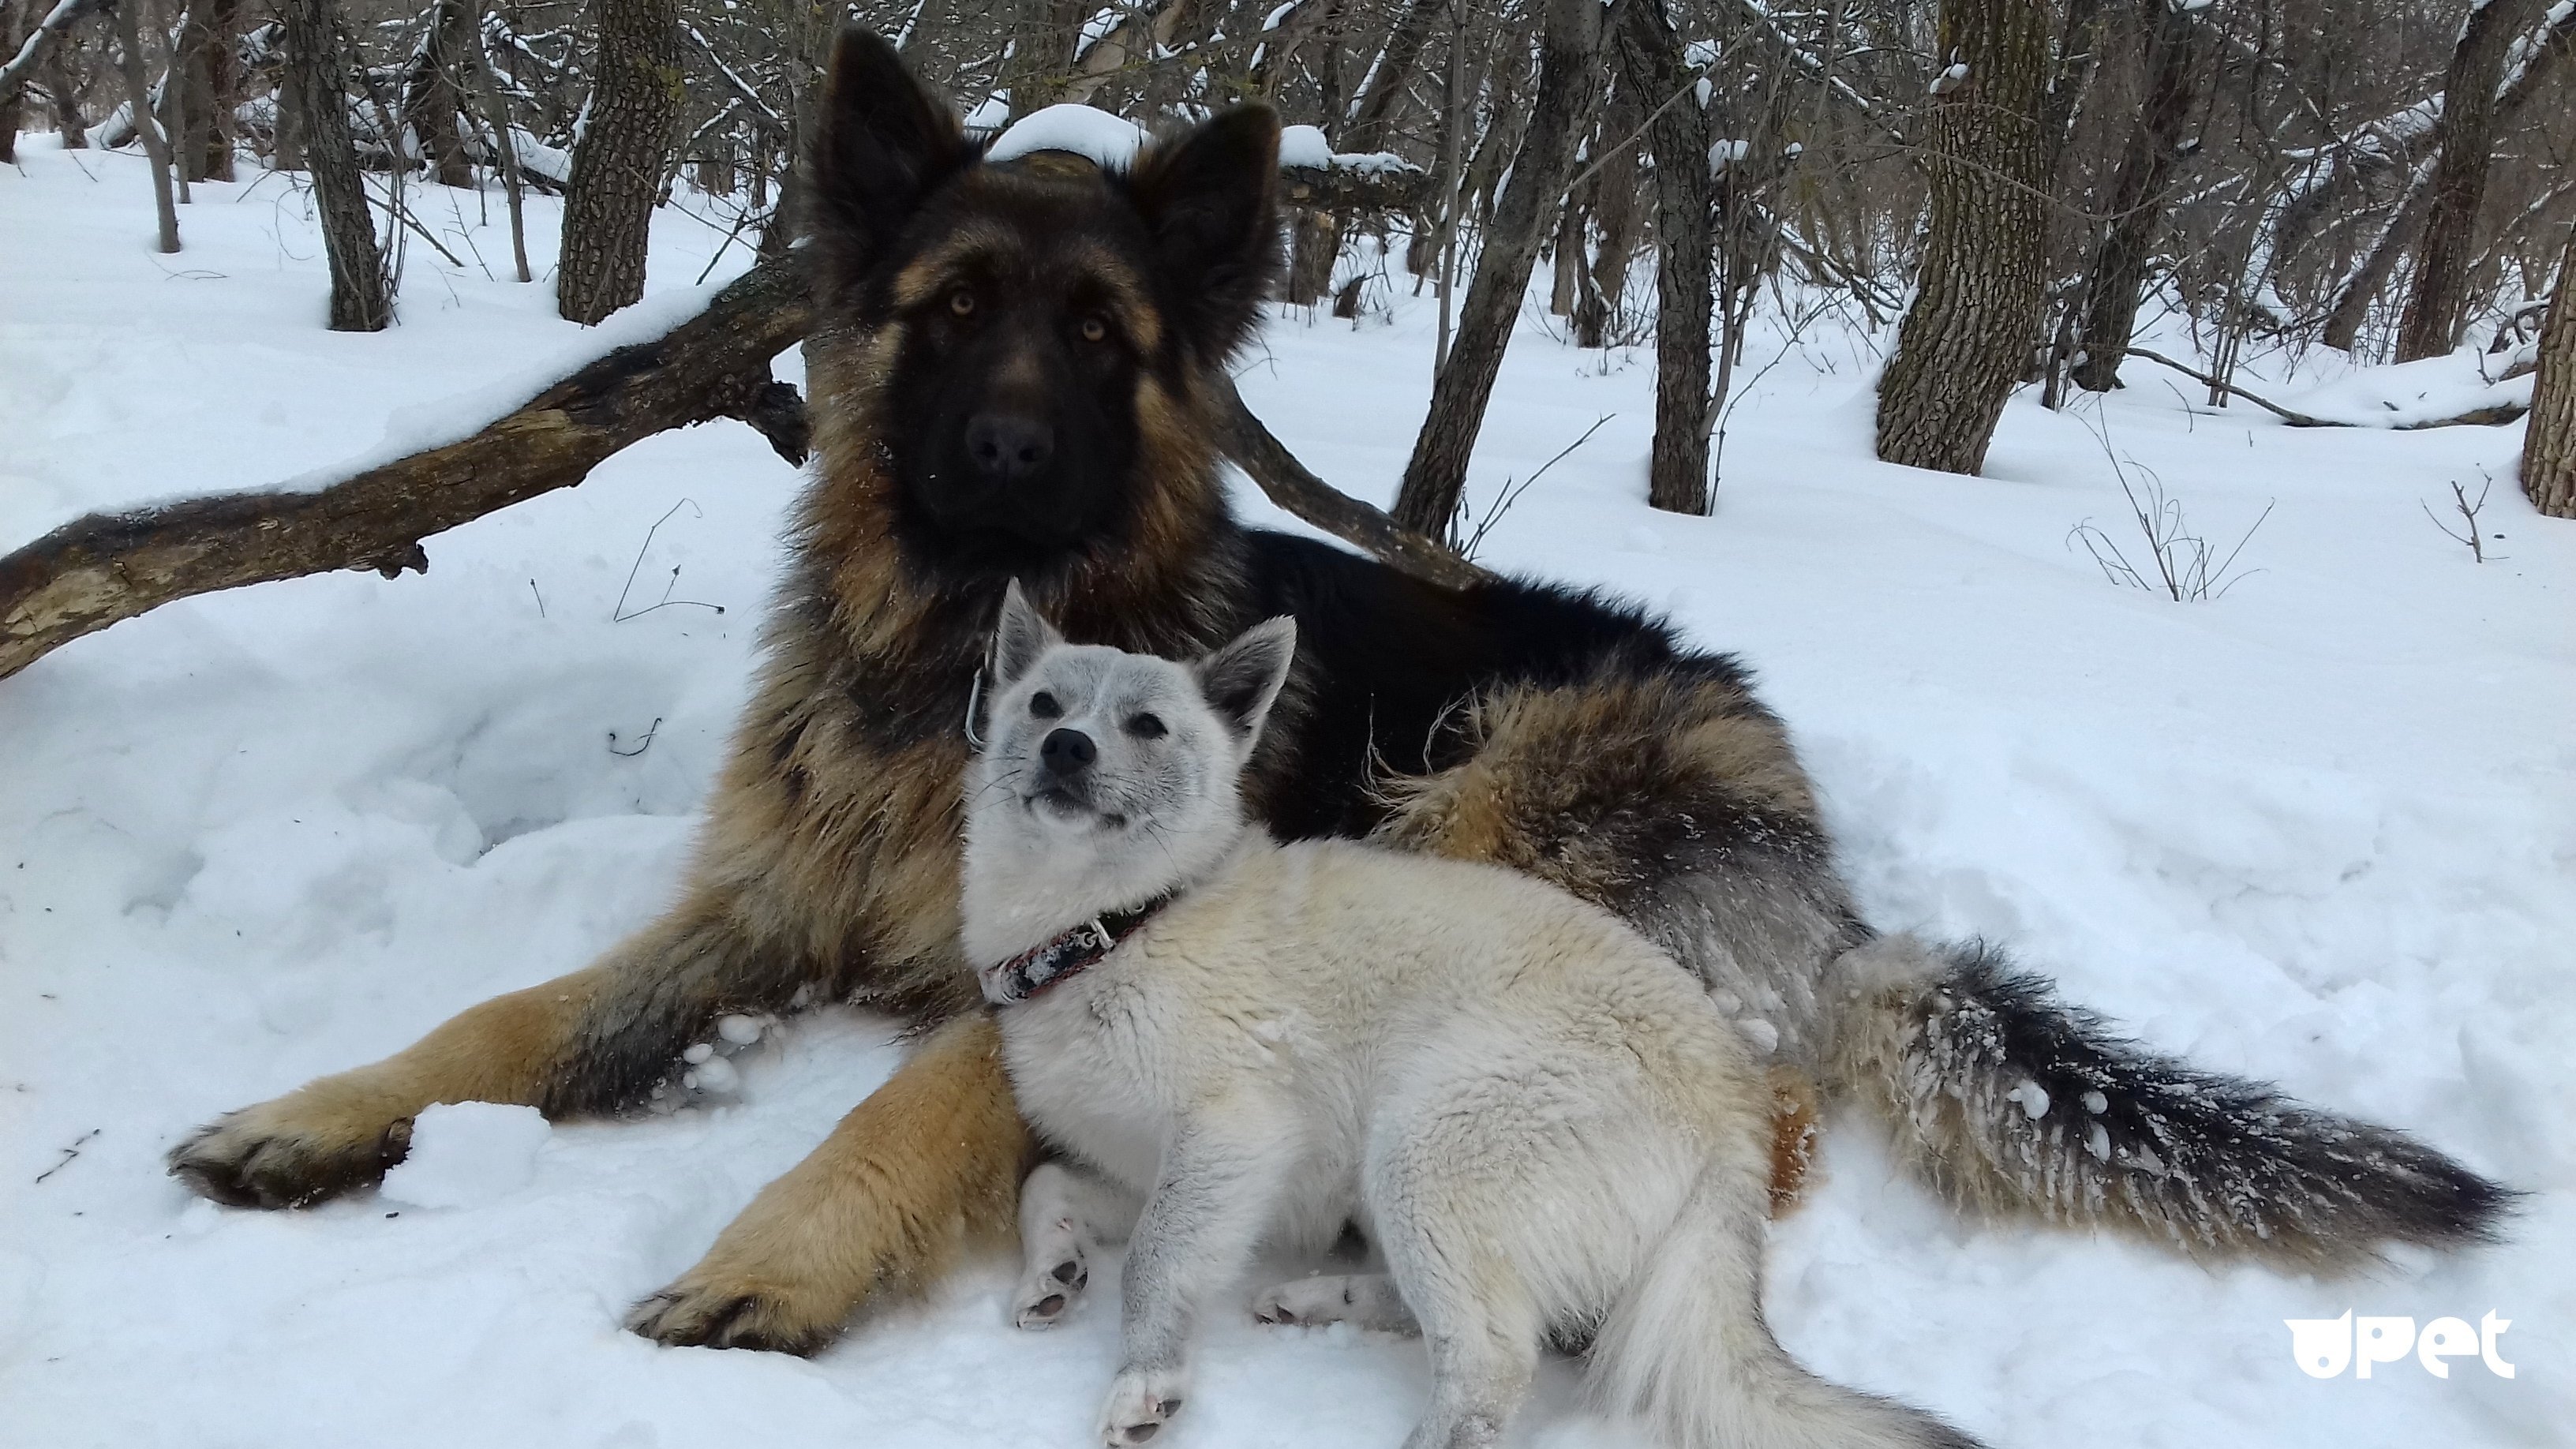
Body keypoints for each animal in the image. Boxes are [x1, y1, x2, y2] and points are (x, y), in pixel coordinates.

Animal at [963, 582, 1968, 1443]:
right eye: (1045, 705)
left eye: (1147, 725)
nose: (1067, 749)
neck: (1117, 927)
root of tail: (1735, 1112)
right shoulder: (1169, 1168)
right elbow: (1046, 1184)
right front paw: (1052, 1272)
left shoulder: (1232, 1136)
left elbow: (1154, 1261)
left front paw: (1147, 1380)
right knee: (1460, 1320)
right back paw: (1319, 1298)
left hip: (1425, 1148)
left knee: (1493, 1363)